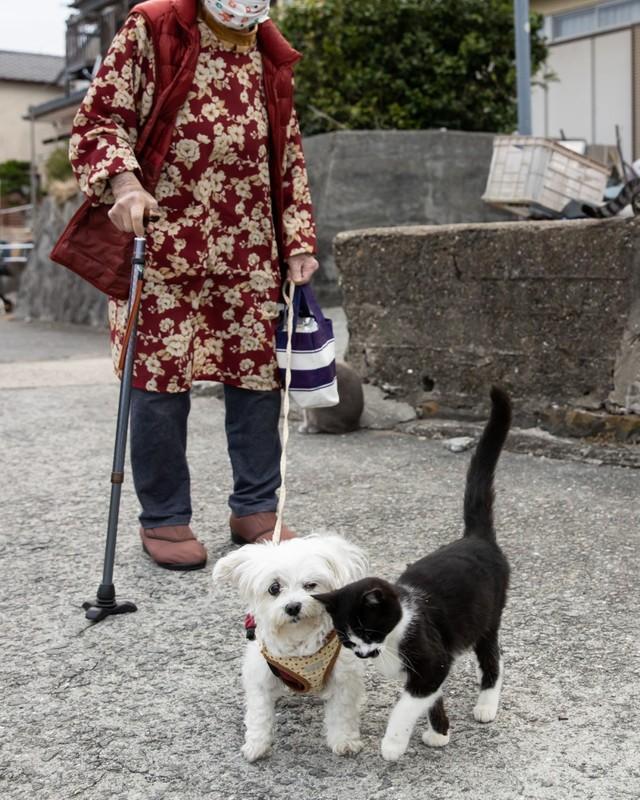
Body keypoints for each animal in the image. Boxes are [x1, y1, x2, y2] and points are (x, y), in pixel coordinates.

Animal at [212, 536, 368, 760]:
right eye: (274, 588)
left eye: (310, 585)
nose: (293, 606)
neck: (299, 640)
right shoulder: (260, 677)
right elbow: (259, 713)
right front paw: (256, 745)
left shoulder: (343, 678)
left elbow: (342, 714)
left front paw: (344, 740)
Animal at [312, 388, 512, 764]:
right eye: (347, 640)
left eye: (366, 630)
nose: (362, 654)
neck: (398, 630)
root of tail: (475, 537)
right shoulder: (431, 669)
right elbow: (431, 696)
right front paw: (439, 733)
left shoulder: (432, 658)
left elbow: (407, 704)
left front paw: (392, 745)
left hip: (487, 617)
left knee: (493, 657)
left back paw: (486, 705)